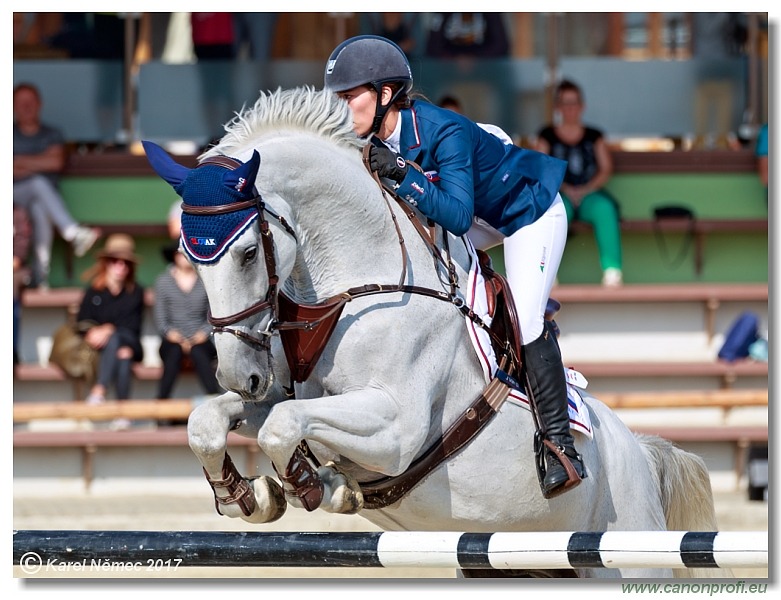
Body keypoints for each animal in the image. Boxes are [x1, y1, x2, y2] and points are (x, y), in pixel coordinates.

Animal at [145, 84, 724, 576]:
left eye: (246, 253)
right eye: (190, 260)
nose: (240, 375)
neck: (352, 291)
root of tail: (641, 453)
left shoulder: (396, 428)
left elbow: (282, 426)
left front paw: (318, 485)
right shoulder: (289, 393)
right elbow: (211, 420)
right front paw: (247, 495)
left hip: (624, 553)